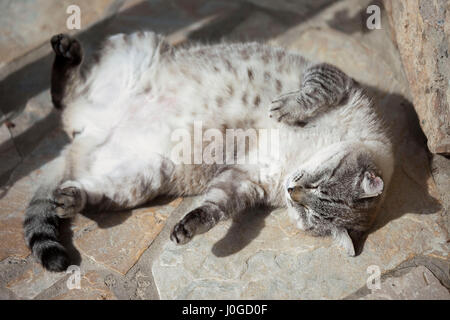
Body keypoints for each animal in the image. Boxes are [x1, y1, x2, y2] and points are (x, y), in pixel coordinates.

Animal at [23, 31, 394, 272]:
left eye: (309, 215)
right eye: (320, 182)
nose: (293, 191)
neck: (299, 155)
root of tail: (87, 131)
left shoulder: (246, 177)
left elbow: (215, 207)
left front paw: (190, 227)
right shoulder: (334, 77)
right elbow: (313, 92)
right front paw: (288, 109)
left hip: (142, 178)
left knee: (91, 181)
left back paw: (70, 198)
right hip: (140, 45)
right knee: (65, 97)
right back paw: (68, 51)